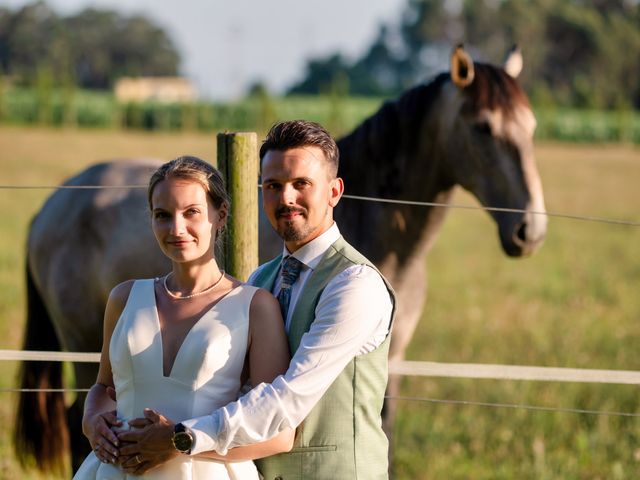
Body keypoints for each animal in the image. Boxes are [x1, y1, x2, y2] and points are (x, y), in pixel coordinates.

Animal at [15, 47, 544, 474]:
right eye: (483, 127)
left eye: (532, 126)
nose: (529, 230)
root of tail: (55, 203)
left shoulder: (394, 360)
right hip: (83, 344)